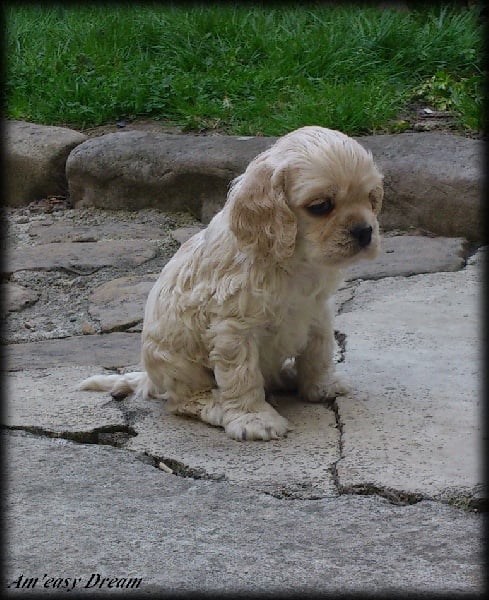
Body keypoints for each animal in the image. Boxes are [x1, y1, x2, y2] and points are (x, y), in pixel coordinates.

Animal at [80, 126, 383, 441]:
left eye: (370, 198)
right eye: (321, 206)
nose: (365, 231)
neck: (293, 261)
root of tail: (150, 379)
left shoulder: (318, 311)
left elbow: (319, 351)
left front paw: (322, 385)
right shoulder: (234, 327)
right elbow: (242, 375)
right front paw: (254, 419)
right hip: (176, 363)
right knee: (182, 400)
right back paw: (216, 406)